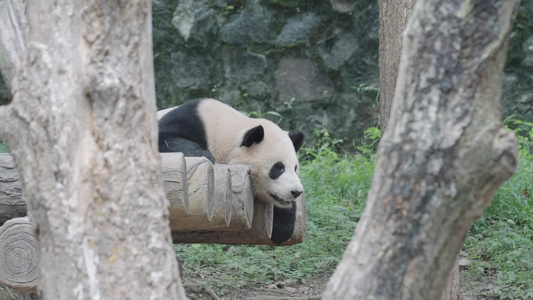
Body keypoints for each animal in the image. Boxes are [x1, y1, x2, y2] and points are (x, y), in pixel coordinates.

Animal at [158, 98, 304, 244]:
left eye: (295, 168)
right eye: (279, 167)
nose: (296, 192)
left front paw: (281, 229)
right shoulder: (192, 117)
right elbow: (165, 137)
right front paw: (204, 155)